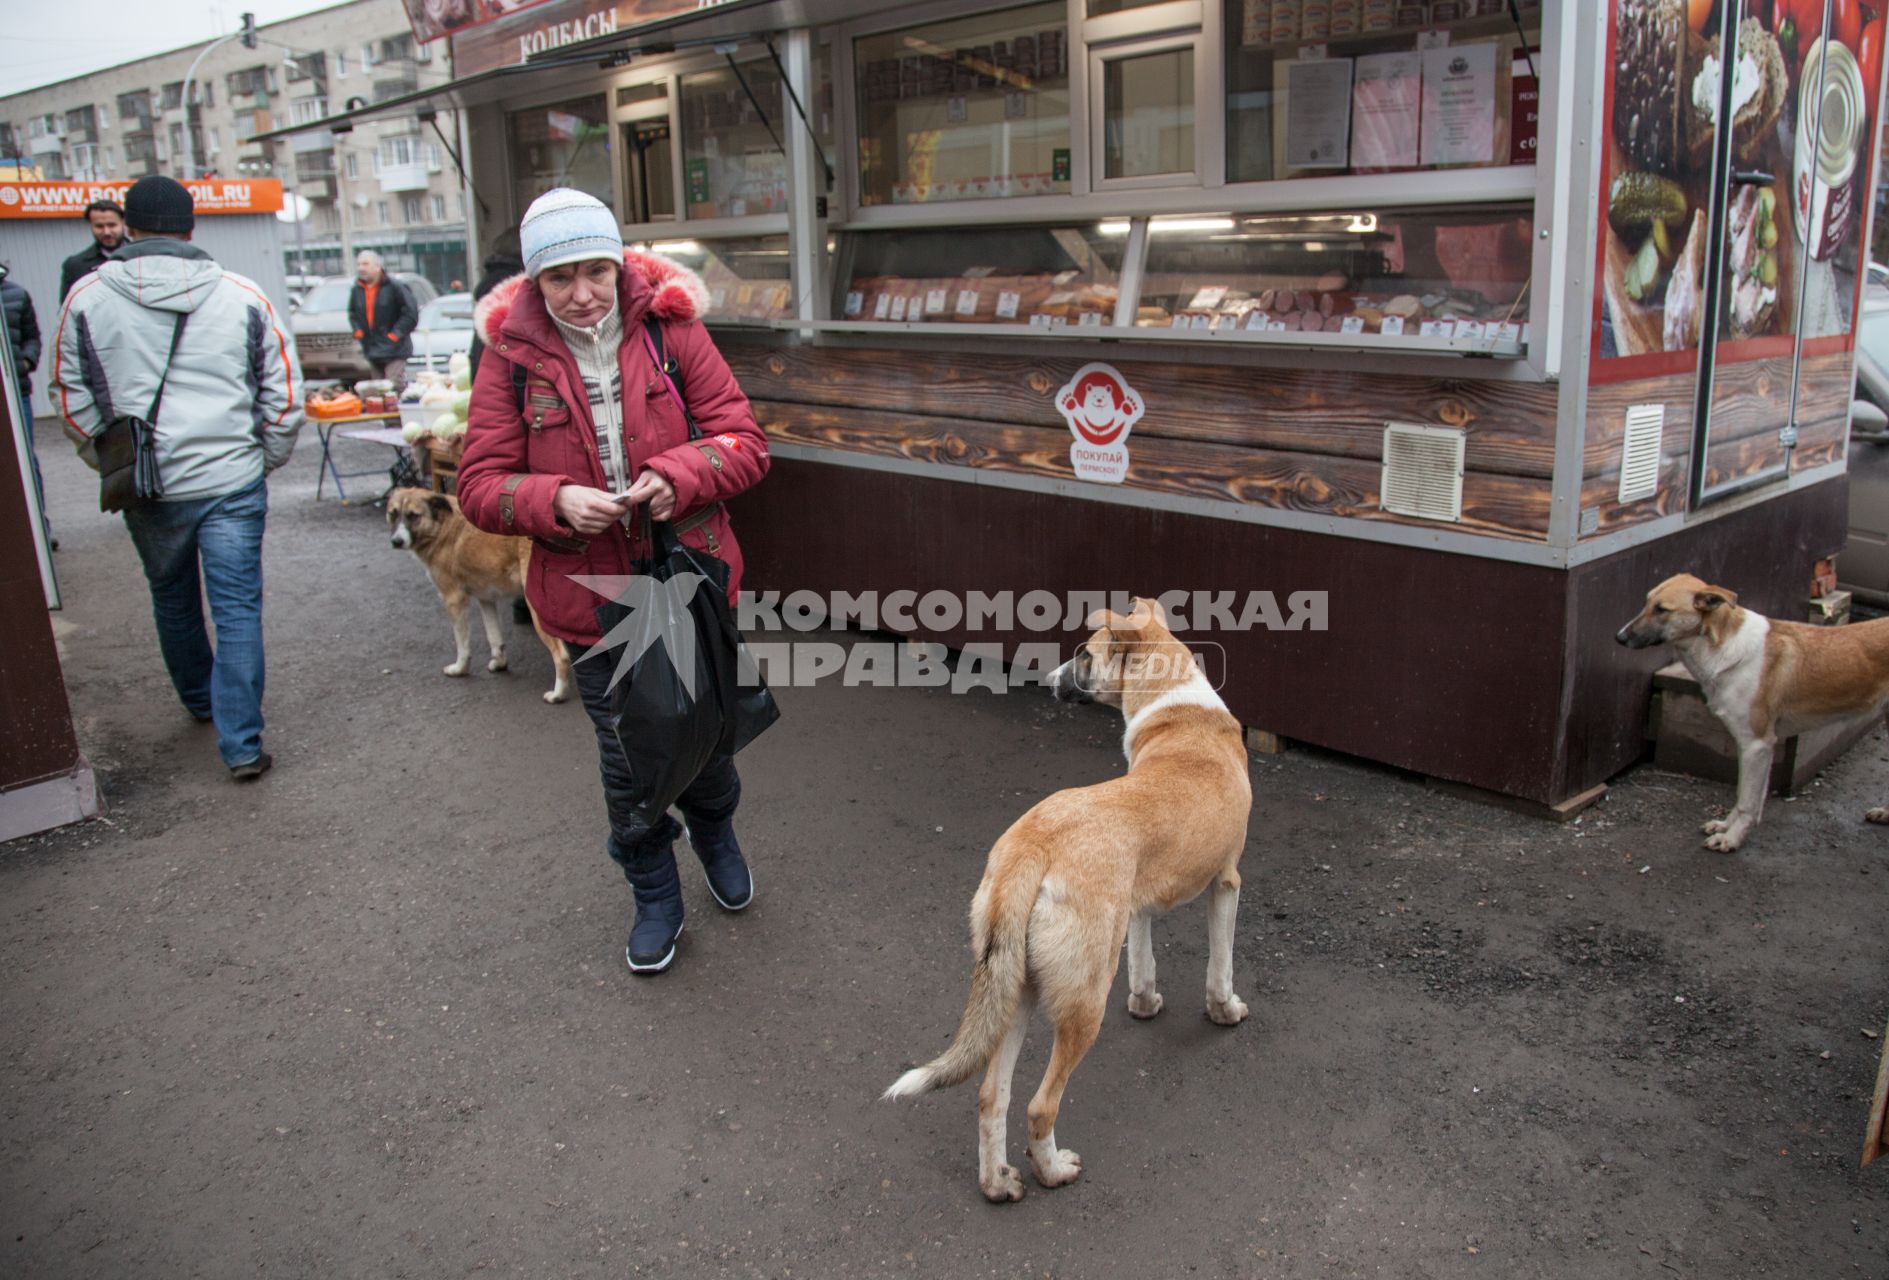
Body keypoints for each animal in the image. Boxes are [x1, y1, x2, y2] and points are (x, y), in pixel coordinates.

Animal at [377, 487, 566, 706]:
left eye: (413, 515)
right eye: (393, 513)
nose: (396, 541)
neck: (442, 526)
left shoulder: (453, 599)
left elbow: (462, 642)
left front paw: (460, 668)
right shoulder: (486, 597)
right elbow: (494, 636)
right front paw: (499, 662)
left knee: (561, 655)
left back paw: (558, 694)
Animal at [884, 600, 1254, 1200]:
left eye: (1083, 654)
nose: (1048, 679)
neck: (1176, 706)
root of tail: (1031, 847)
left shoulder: (1137, 906)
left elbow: (1143, 961)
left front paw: (1146, 1004)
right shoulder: (1227, 883)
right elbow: (1219, 968)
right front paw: (1226, 1012)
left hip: (1016, 989)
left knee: (991, 1096)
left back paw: (998, 1183)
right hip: (1083, 1004)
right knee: (1040, 1106)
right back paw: (1053, 1170)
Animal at [1616, 570, 1889, 853]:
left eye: (1662, 609)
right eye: (1646, 602)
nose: (1619, 637)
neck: (1722, 644)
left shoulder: (1757, 743)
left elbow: (1748, 801)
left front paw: (1732, 838)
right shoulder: (1749, 744)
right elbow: (1744, 795)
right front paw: (1726, 826)